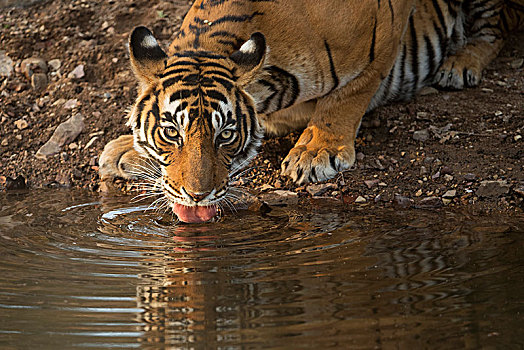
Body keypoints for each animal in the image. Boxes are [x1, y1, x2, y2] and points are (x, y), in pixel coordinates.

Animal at [99, 0, 524, 223]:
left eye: (226, 135)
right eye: (171, 132)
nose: (197, 196)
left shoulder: (384, 31)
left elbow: (349, 94)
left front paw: (316, 153)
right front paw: (123, 150)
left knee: (498, 29)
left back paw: (459, 64)